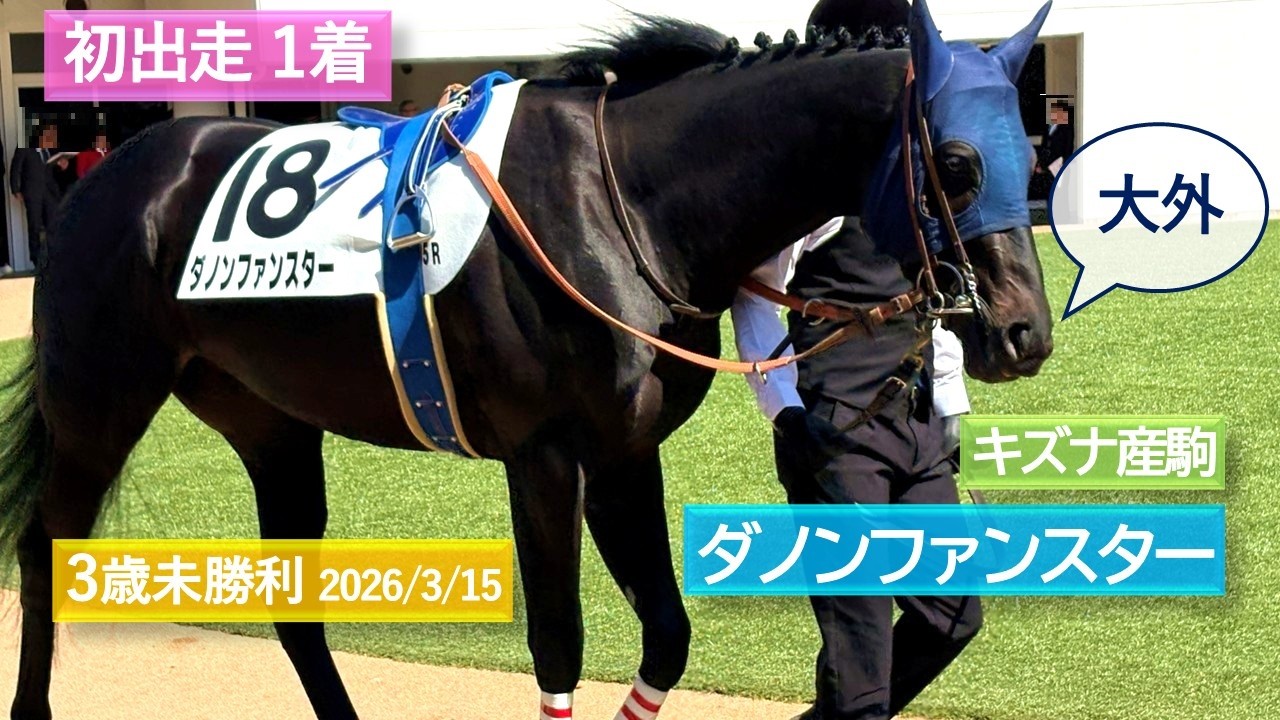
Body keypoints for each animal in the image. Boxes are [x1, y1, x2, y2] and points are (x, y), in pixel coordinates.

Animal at [0, 0, 1054, 717]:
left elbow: (666, 635)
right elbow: (558, 643)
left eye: (1024, 148)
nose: (1024, 333)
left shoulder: (624, 452)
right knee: (42, 548)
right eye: (958, 165)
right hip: (97, 406)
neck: (624, 198)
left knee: (295, 604)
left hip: (271, 421)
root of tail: (118, 170)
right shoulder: (544, 454)